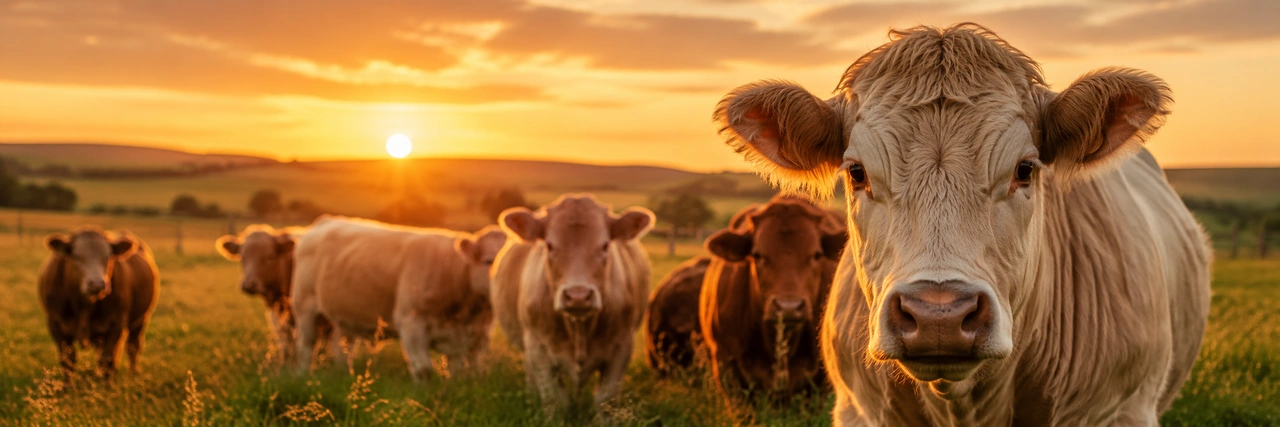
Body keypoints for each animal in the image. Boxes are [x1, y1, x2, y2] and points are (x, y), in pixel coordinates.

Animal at [38, 227, 159, 380]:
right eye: (76, 256)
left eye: (108, 256)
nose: (97, 284)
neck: (84, 306)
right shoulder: (55, 323)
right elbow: (68, 361)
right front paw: (67, 386)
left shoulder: (116, 324)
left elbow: (107, 360)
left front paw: (108, 385)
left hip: (141, 319)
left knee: (133, 347)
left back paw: (133, 374)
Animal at [291, 217, 507, 380]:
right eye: (489, 261)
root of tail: (326, 221)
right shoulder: (411, 322)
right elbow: (424, 370)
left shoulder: (473, 338)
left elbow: (460, 371)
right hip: (305, 306)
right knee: (306, 344)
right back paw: (302, 374)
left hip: (344, 315)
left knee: (342, 346)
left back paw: (344, 373)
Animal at [493, 194, 653, 412]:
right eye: (549, 245)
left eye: (605, 245)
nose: (578, 295)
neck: (579, 330)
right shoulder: (537, 348)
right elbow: (554, 400)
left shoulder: (622, 347)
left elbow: (606, 399)